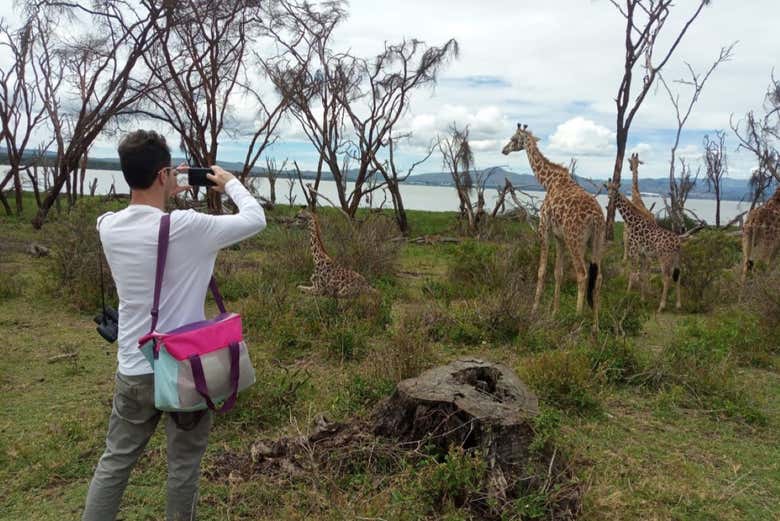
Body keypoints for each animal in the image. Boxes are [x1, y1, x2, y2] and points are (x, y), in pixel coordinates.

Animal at [502, 124, 608, 332]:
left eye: (512, 138)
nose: (504, 150)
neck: (549, 182)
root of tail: (596, 218)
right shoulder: (560, 237)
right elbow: (558, 273)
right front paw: (554, 312)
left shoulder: (544, 229)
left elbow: (542, 271)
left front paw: (534, 310)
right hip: (597, 241)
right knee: (598, 278)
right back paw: (595, 326)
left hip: (576, 240)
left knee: (582, 274)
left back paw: (576, 320)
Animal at [608, 181, 680, 310]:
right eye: (607, 188)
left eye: (615, 189)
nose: (610, 196)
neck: (632, 221)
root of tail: (678, 243)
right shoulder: (643, 254)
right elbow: (641, 276)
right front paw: (642, 299)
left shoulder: (634, 251)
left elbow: (632, 274)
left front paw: (626, 295)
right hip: (675, 259)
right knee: (677, 277)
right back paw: (678, 304)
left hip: (664, 259)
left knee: (666, 278)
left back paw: (661, 306)